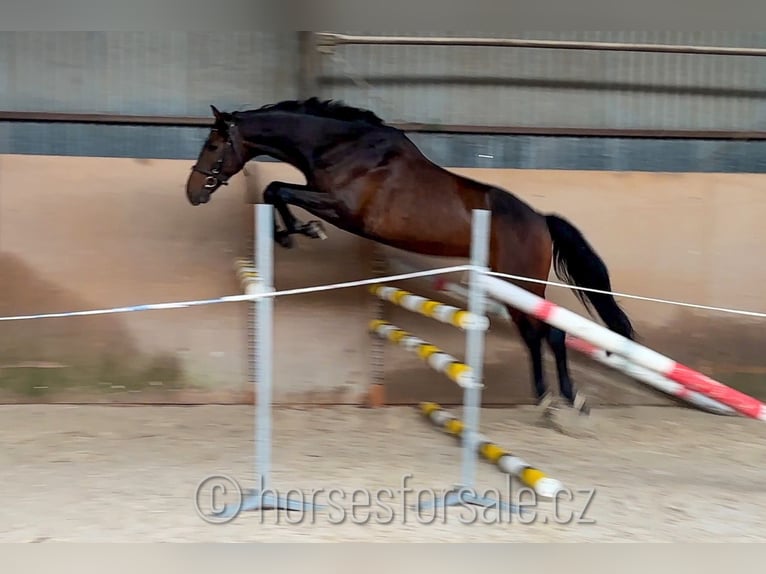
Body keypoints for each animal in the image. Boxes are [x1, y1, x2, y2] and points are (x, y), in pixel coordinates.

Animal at [185, 97, 635, 418]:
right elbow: (274, 190)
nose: (193, 193)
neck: (342, 147)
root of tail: (541, 220)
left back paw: (569, 399)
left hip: (523, 283)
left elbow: (276, 189)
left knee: (551, 333)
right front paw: (292, 233)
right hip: (510, 286)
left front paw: (299, 232)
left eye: (213, 144)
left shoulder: (342, 208)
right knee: (535, 336)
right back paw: (545, 399)